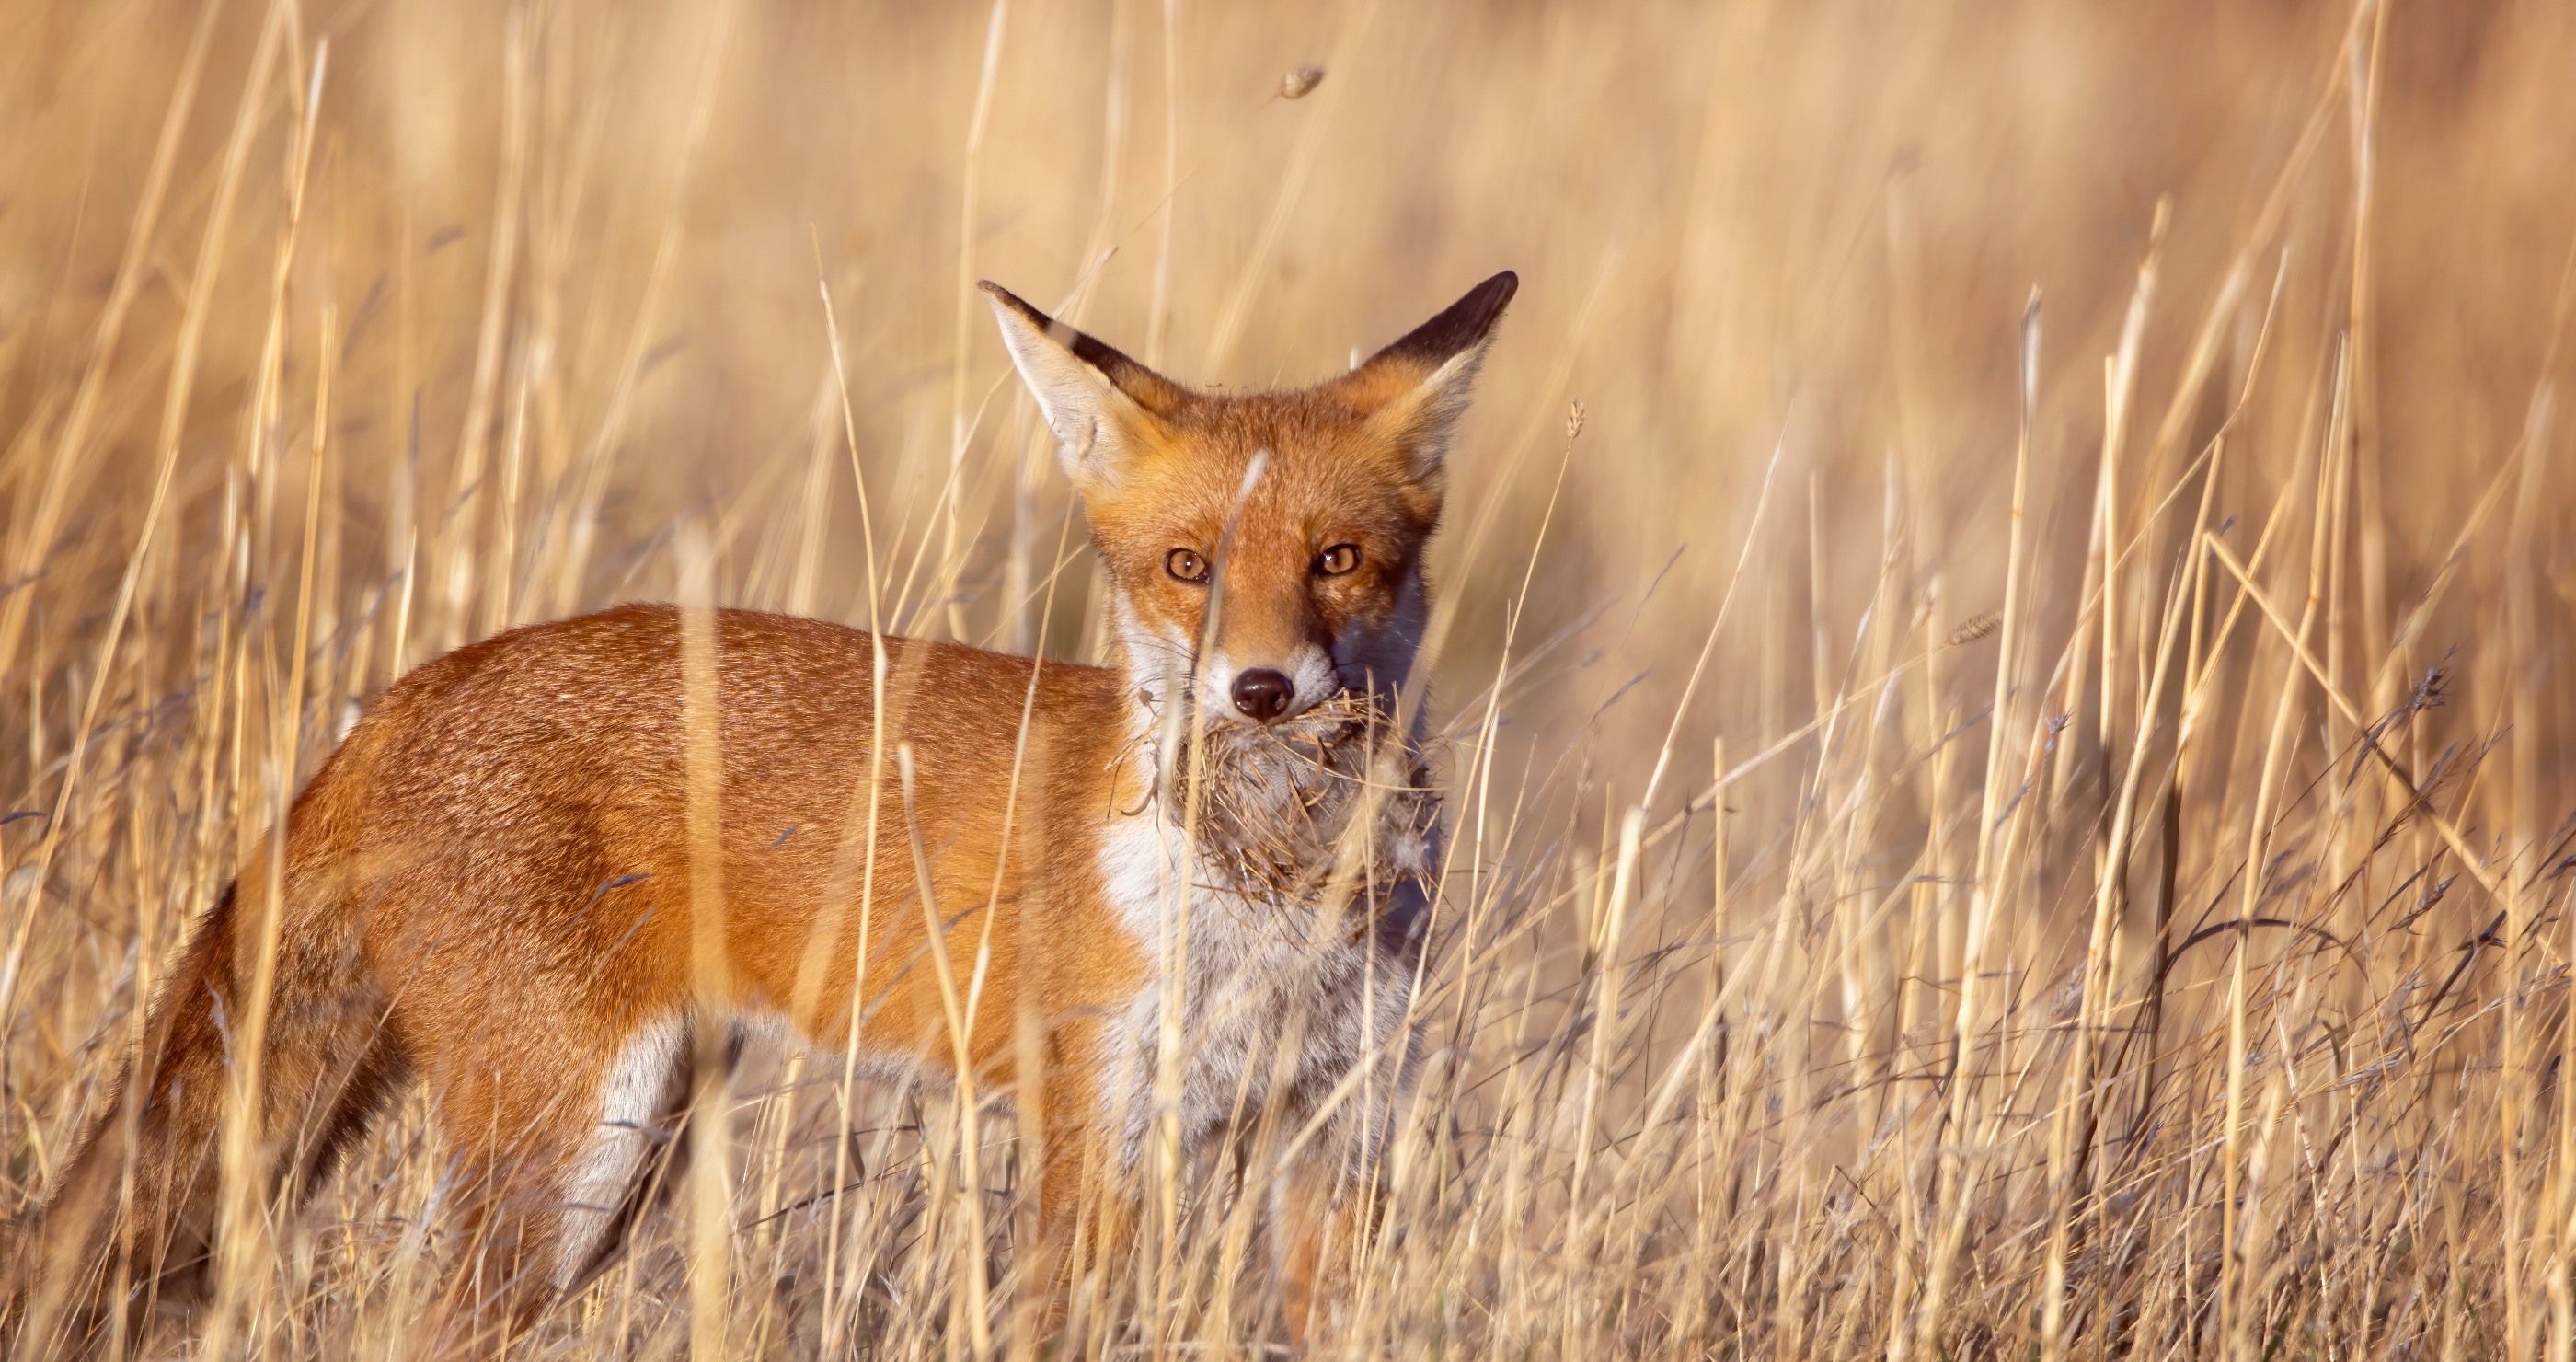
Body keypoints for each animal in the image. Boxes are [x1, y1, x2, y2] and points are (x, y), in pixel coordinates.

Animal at [1, 268, 1516, 1353]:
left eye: (1338, 560)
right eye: (1187, 567)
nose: (1259, 689)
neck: (1272, 891)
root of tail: (409, 692)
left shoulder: (1337, 1128)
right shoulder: (1099, 1138)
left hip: (628, 1160)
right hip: (573, 1159)